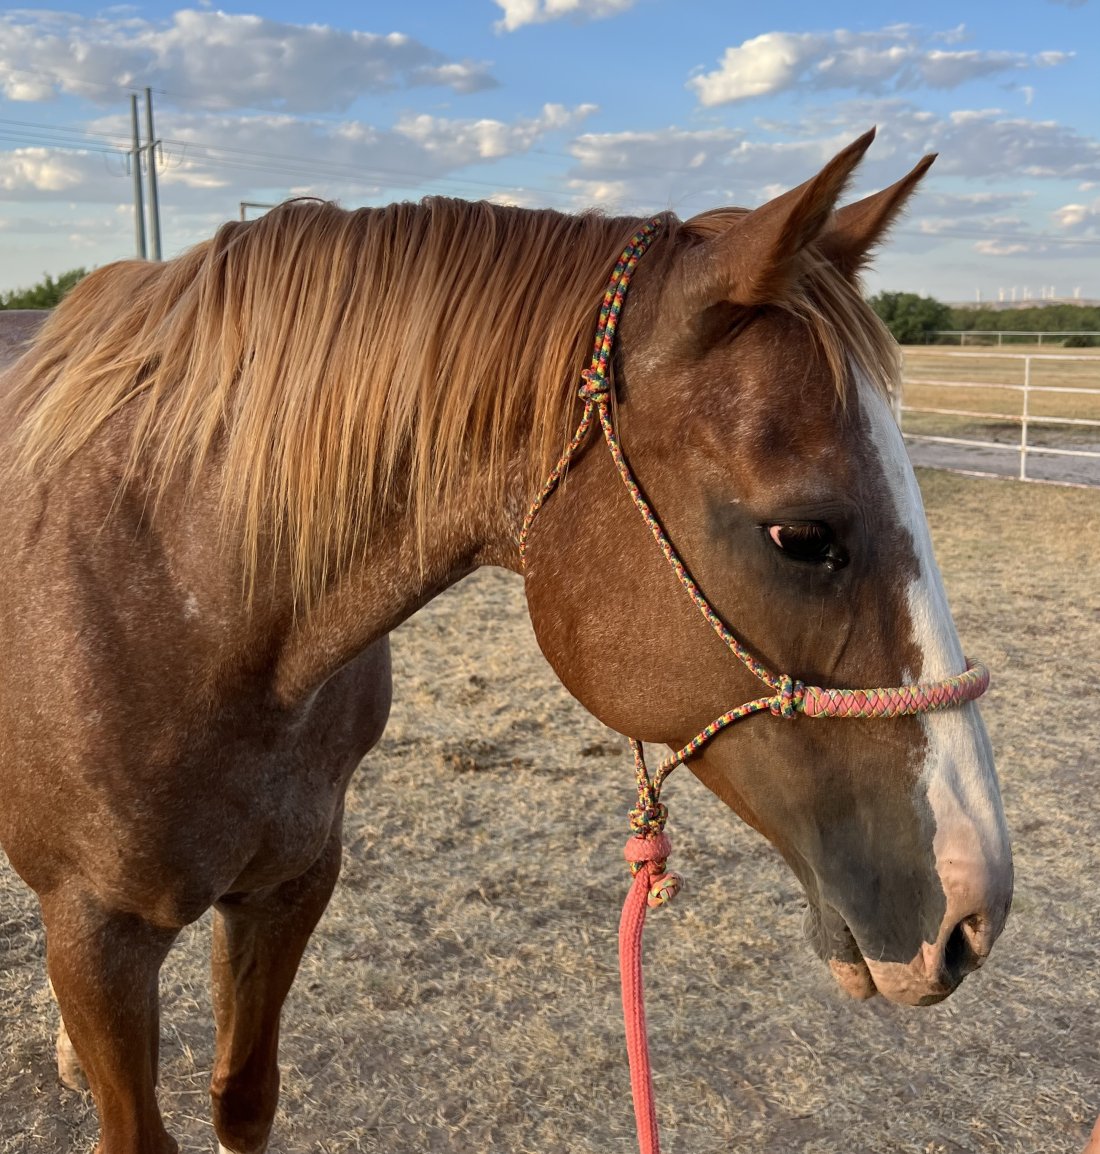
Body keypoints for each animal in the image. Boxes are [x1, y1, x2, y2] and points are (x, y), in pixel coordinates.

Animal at [0, 126, 1011, 1154]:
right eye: (802, 536)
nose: (976, 913)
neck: (185, 590)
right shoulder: (95, 933)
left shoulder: (289, 886)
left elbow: (242, 1100)